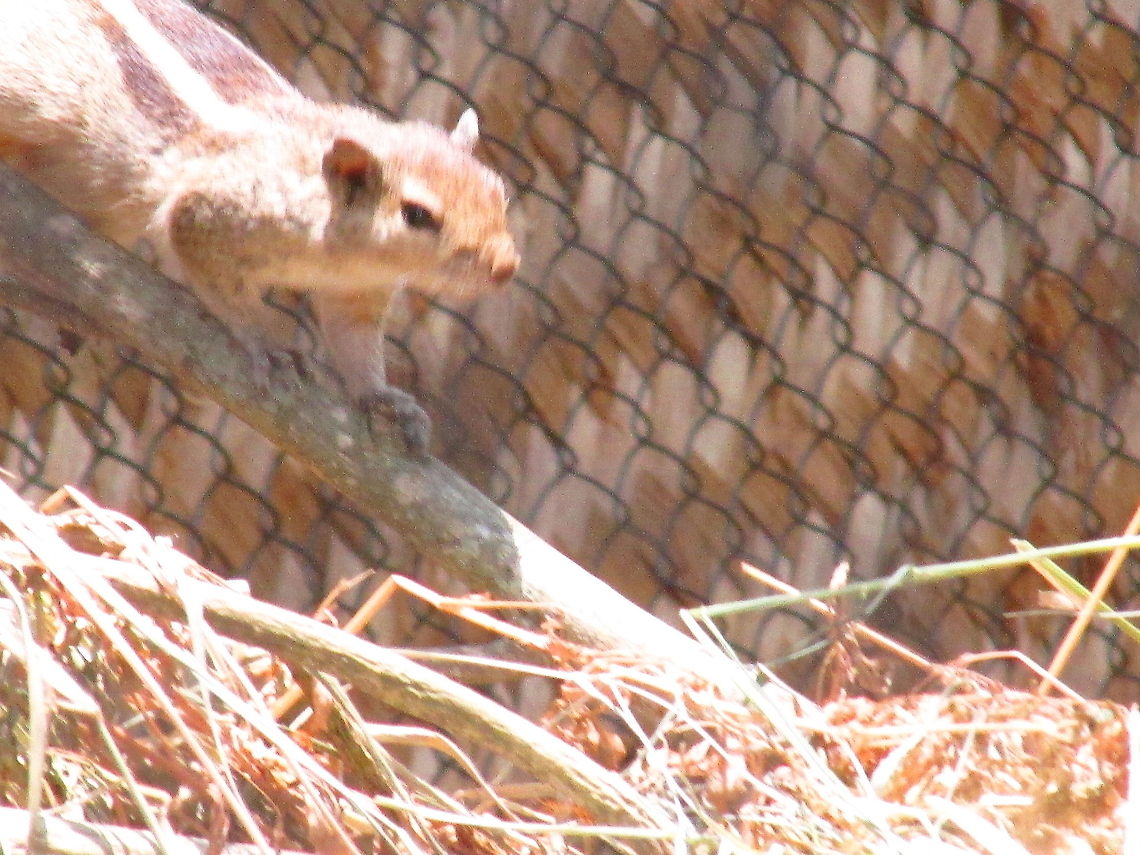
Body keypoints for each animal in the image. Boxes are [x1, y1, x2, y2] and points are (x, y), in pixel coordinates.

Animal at [0, 0, 519, 455]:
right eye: (417, 216)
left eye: (499, 194)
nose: (507, 267)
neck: (345, 255)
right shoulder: (211, 215)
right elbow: (220, 282)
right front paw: (263, 341)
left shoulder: (358, 294)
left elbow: (355, 343)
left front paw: (383, 398)